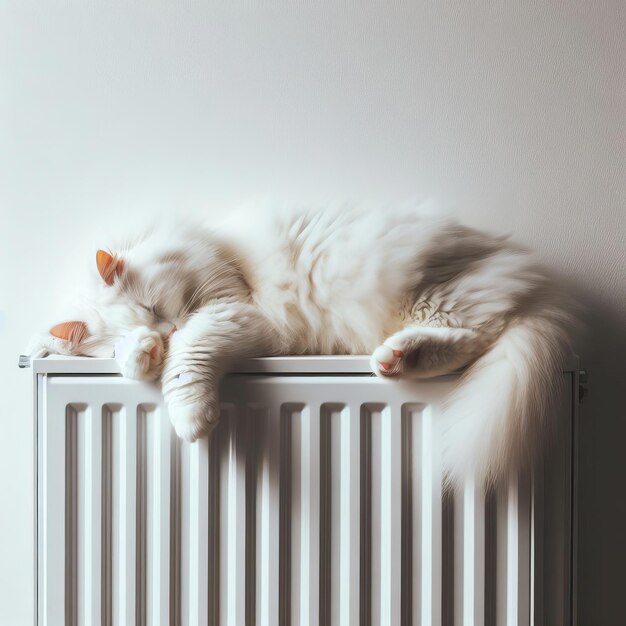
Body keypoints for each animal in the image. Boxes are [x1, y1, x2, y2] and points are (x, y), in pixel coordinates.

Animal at [28, 205, 572, 482]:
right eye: (142, 324)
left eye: (153, 308)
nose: (163, 333)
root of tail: (537, 282)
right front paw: (136, 354)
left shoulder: (232, 308)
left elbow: (190, 359)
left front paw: (191, 419)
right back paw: (396, 359)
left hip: (436, 295)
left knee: (482, 335)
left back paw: (397, 356)